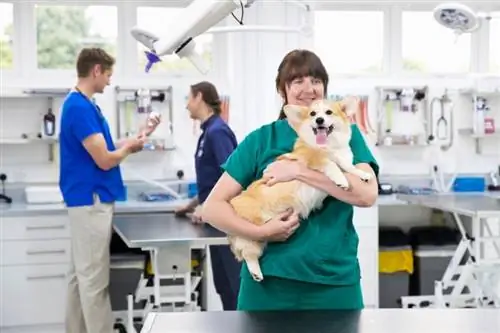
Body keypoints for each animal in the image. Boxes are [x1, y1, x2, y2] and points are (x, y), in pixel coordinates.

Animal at [229, 96, 374, 280]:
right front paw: (341, 180)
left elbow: (349, 167)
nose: (319, 120)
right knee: (250, 248)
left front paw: (363, 174)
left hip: (258, 239)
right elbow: (331, 165)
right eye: (313, 114)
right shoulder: (315, 159)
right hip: (254, 226)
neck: (329, 146)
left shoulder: (344, 161)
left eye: (328, 112)